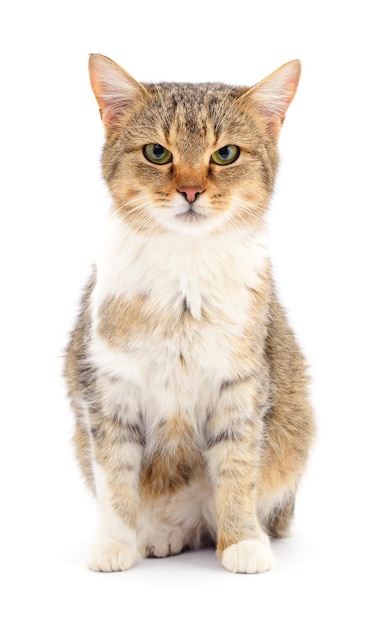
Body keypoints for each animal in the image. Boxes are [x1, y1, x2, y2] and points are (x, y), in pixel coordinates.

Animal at [64, 53, 314, 572]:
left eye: (226, 154)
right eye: (158, 153)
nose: (192, 191)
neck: (184, 274)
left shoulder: (241, 383)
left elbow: (238, 467)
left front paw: (242, 541)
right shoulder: (106, 386)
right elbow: (115, 474)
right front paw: (116, 542)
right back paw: (160, 535)